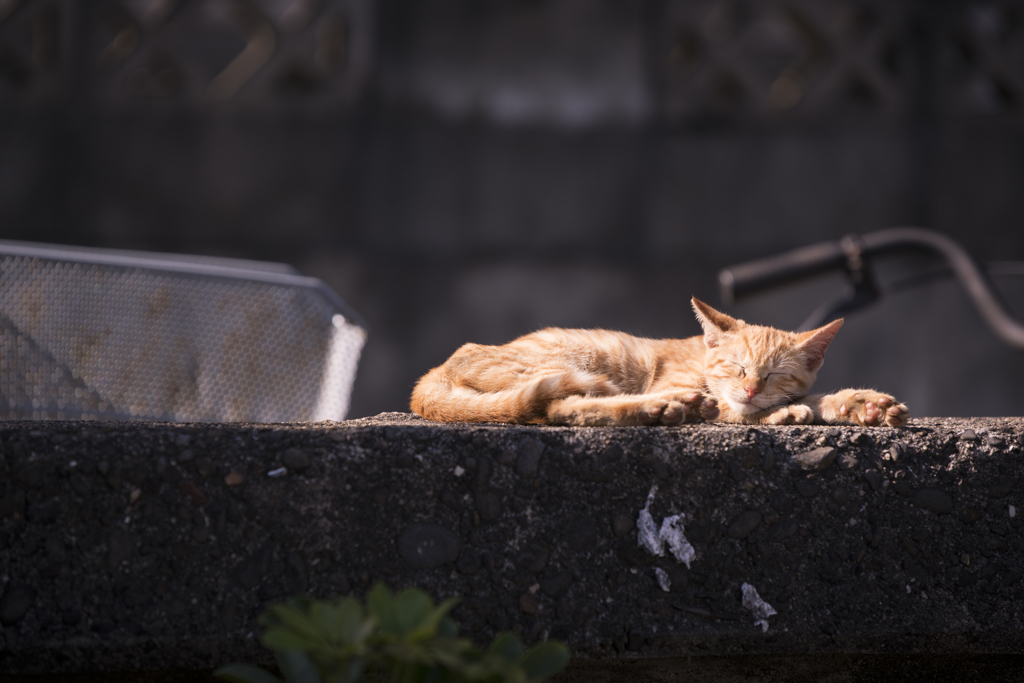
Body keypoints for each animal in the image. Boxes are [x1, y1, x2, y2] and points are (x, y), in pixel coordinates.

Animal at [411, 299, 909, 428]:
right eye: (736, 367)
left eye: (775, 375)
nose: (752, 389)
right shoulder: (698, 386)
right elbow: (731, 410)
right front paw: (779, 413)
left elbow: (818, 396)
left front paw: (861, 404)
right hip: (571, 363)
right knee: (561, 407)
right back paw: (661, 407)